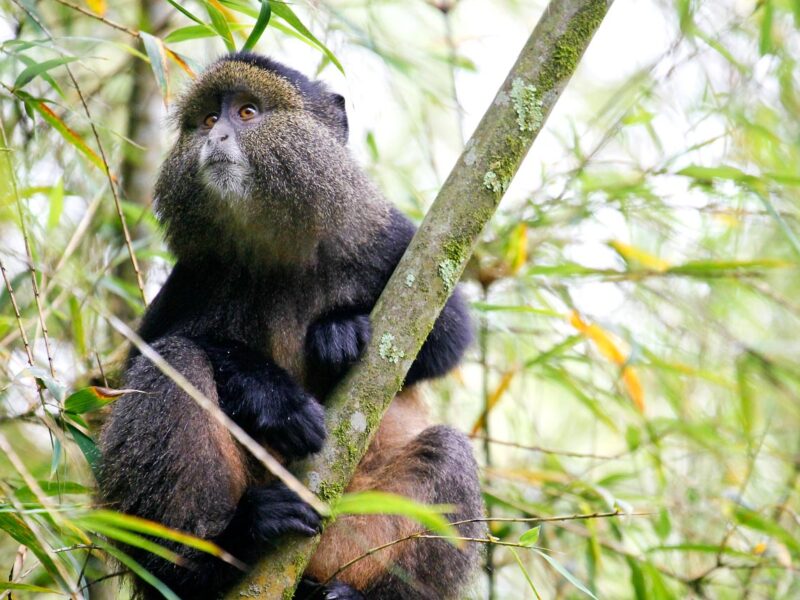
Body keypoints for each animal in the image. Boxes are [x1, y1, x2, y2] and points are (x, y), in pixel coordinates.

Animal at [98, 52, 484, 600]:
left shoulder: (386, 238)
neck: (277, 245)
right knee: (176, 363)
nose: (216, 137)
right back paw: (213, 554)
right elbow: (147, 354)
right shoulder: (194, 274)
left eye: (248, 112)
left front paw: (339, 330)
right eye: (208, 120)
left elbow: (446, 333)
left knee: (448, 451)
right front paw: (274, 398)